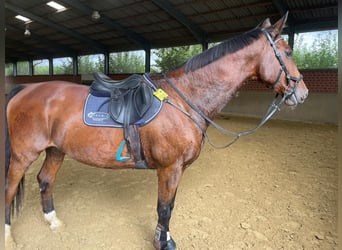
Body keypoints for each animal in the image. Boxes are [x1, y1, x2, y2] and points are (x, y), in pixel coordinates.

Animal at [4, 14, 308, 250]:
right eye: (288, 52)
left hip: (56, 150)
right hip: (23, 155)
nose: (302, 93)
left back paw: (53, 221)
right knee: (9, 188)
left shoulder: (176, 170)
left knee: (45, 180)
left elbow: (169, 206)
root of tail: (26, 89)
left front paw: (165, 238)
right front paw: (163, 242)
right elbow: (165, 207)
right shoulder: (170, 168)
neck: (185, 98)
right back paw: (8, 236)